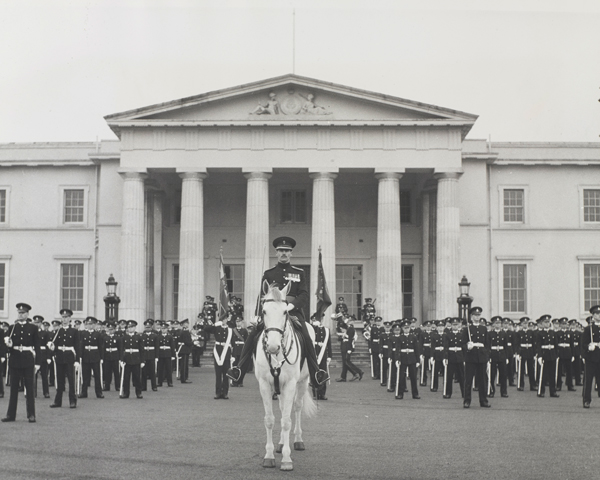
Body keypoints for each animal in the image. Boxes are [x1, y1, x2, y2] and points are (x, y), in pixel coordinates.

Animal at [254, 284, 318, 470]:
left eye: (285, 312)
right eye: (264, 311)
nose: (273, 346)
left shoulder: (290, 384)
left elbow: (287, 421)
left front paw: (287, 459)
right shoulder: (265, 384)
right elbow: (270, 420)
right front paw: (269, 456)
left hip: (302, 381)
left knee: (296, 408)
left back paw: (297, 440)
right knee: (283, 409)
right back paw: (281, 443)